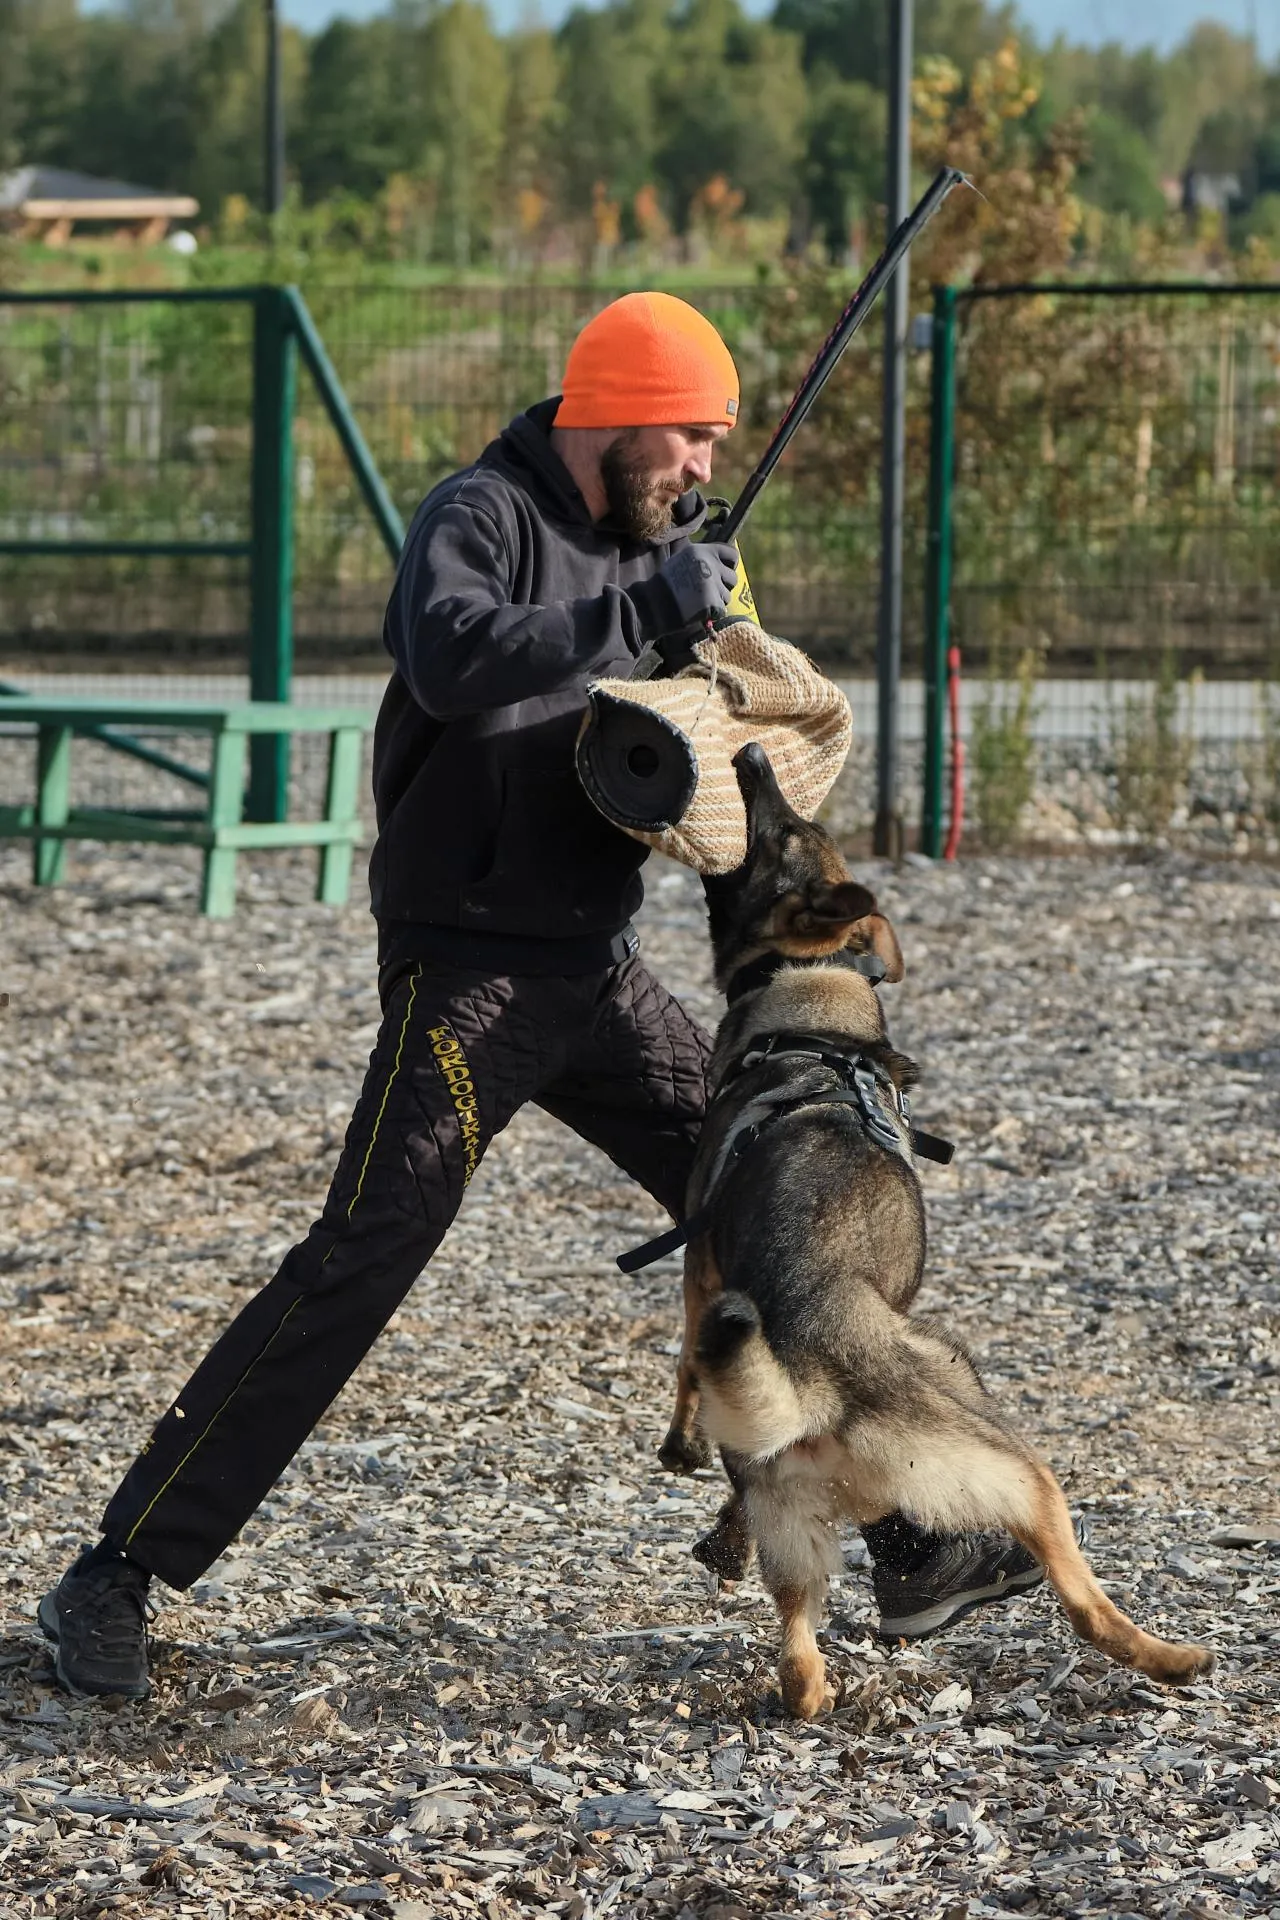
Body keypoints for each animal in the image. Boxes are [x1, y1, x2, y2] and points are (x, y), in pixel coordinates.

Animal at [657, 742, 1212, 1718]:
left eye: (783, 830)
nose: (752, 753)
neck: (812, 1008)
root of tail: (818, 1391)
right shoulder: (697, 1271)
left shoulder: (700, 1274)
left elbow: (689, 1367)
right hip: (1017, 1464)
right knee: (1082, 1600)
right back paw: (1169, 1657)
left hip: (797, 1527)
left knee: (801, 1668)